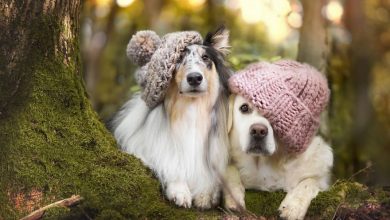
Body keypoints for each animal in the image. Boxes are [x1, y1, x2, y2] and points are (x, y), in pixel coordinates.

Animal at [111, 26, 232, 209]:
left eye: (205, 57)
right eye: (179, 58)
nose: (194, 78)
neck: (191, 108)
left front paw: (206, 193)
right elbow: (169, 163)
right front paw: (180, 191)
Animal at [222, 60, 332, 220]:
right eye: (244, 108)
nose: (258, 131)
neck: (262, 165)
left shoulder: (319, 173)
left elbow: (309, 182)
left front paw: (293, 206)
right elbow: (229, 170)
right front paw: (234, 196)